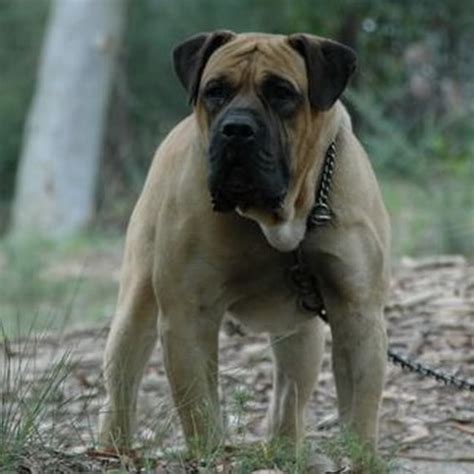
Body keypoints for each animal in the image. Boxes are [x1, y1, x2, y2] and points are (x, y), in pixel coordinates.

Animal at [98, 31, 390, 462]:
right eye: (215, 91)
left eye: (282, 93)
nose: (236, 128)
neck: (281, 220)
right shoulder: (188, 316)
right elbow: (200, 408)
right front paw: (209, 457)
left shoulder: (358, 314)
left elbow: (360, 412)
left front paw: (362, 459)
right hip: (136, 307)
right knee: (122, 380)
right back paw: (110, 449)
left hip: (301, 336)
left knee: (289, 396)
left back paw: (285, 453)